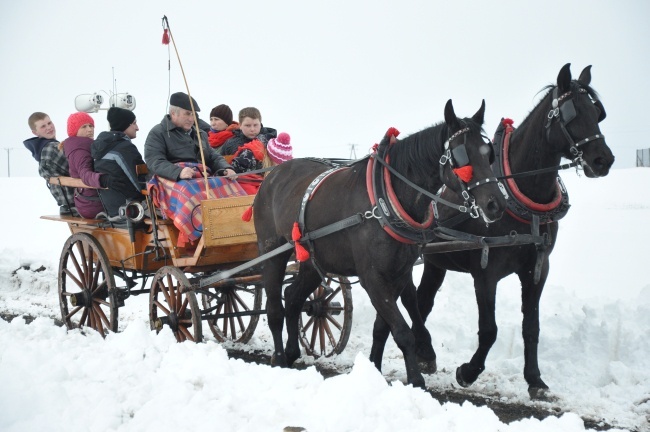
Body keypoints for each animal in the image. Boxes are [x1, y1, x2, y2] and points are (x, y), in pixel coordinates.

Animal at [253, 99, 506, 386]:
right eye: (462, 155)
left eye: (488, 154)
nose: (496, 205)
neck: (386, 200)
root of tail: (273, 174)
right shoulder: (372, 277)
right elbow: (402, 331)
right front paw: (416, 380)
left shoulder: (398, 274)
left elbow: (382, 328)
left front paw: (373, 368)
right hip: (272, 250)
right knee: (275, 307)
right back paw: (279, 357)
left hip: (313, 260)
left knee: (293, 297)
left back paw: (293, 351)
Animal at [368, 64, 612, 398]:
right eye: (571, 113)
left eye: (597, 112)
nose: (604, 160)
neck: (522, 201)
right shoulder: (486, 273)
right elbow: (489, 330)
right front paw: (468, 372)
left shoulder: (538, 269)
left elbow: (531, 327)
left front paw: (535, 379)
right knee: (410, 302)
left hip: (433, 262)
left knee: (419, 301)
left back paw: (421, 352)